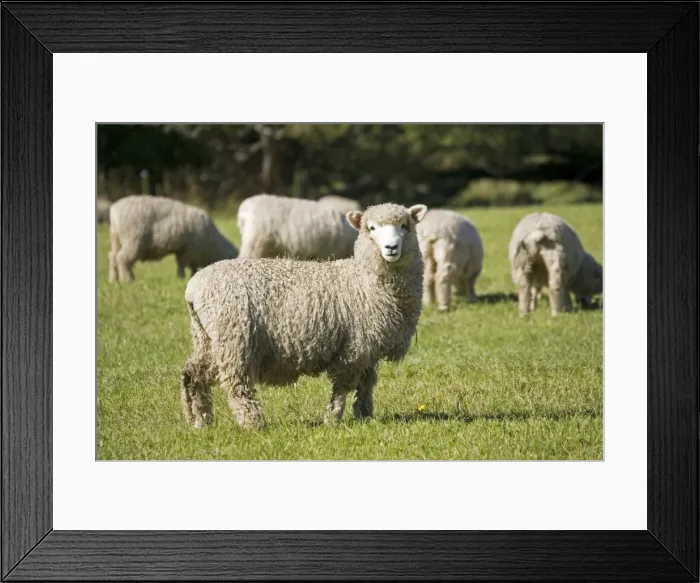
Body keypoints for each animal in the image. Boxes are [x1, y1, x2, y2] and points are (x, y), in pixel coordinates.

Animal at [108, 194, 238, 283]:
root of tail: (114, 210)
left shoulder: (190, 251)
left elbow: (192, 266)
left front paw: (192, 275)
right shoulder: (189, 250)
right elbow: (182, 264)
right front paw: (182, 278)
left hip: (116, 239)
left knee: (113, 256)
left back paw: (113, 279)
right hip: (133, 240)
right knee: (122, 258)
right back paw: (127, 279)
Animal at [181, 202, 428, 430]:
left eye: (405, 225)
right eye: (372, 228)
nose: (391, 247)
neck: (364, 280)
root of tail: (193, 288)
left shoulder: (369, 349)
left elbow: (366, 385)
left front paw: (365, 416)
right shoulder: (354, 348)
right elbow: (342, 387)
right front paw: (333, 419)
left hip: (206, 338)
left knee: (191, 374)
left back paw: (200, 420)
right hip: (233, 338)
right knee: (236, 385)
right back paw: (253, 423)